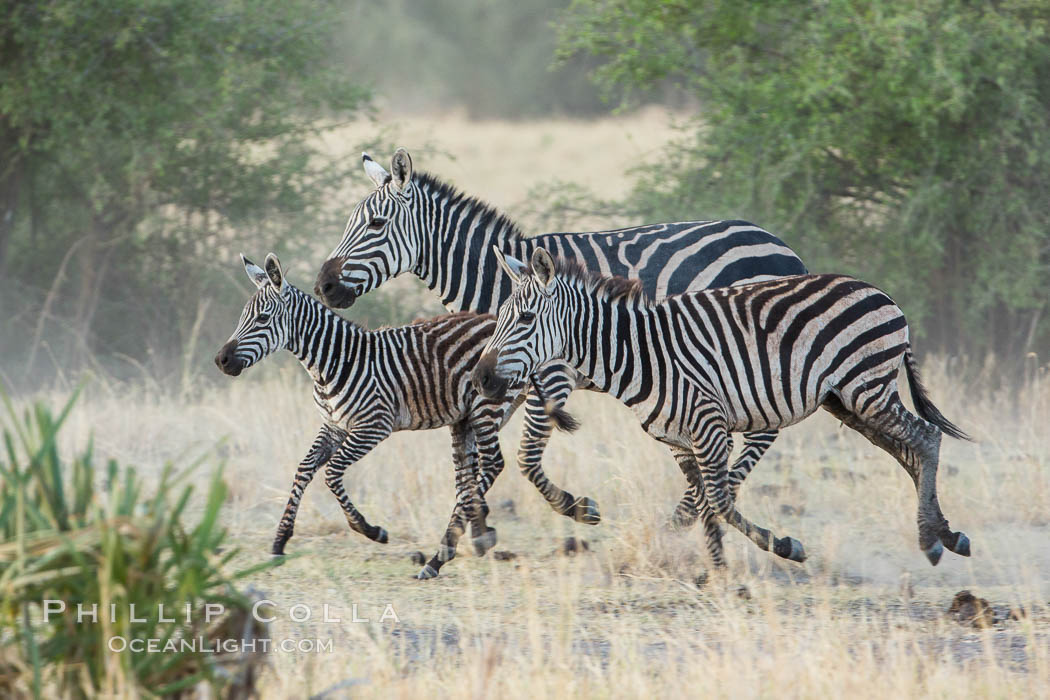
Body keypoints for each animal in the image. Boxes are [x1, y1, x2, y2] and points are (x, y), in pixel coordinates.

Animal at [209, 255, 579, 579]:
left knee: (492, 463)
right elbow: (303, 469)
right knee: (470, 471)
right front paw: (279, 542)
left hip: (486, 408)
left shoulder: (373, 426)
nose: (221, 360)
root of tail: (494, 321)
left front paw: (371, 529)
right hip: (468, 416)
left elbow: (331, 474)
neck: (333, 362)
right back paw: (478, 530)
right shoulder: (333, 426)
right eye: (243, 316)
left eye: (262, 319)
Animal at [308, 146, 802, 531]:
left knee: (765, 429)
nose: (324, 286)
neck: (499, 282)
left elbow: (524, 458)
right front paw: (466, 526)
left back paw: (693, 510)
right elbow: (482, 456)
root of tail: (781, 244)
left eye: (375, 224)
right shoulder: (497, 380)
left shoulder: (551, 375)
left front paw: (576, 508)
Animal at [472, 248, 970, 579]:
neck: (640, 355)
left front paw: (784, 548)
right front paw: (716, 569)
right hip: (848, 401)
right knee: (910, 452)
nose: (481, 378)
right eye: (499, 318)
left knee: (927, 438)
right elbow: (705, 503)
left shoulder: (711, 428)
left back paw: (930, 541)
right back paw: (946, 534)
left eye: (526, 320)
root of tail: (881, 292)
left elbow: (720, 500)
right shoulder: (679, 440)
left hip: (867, 390)